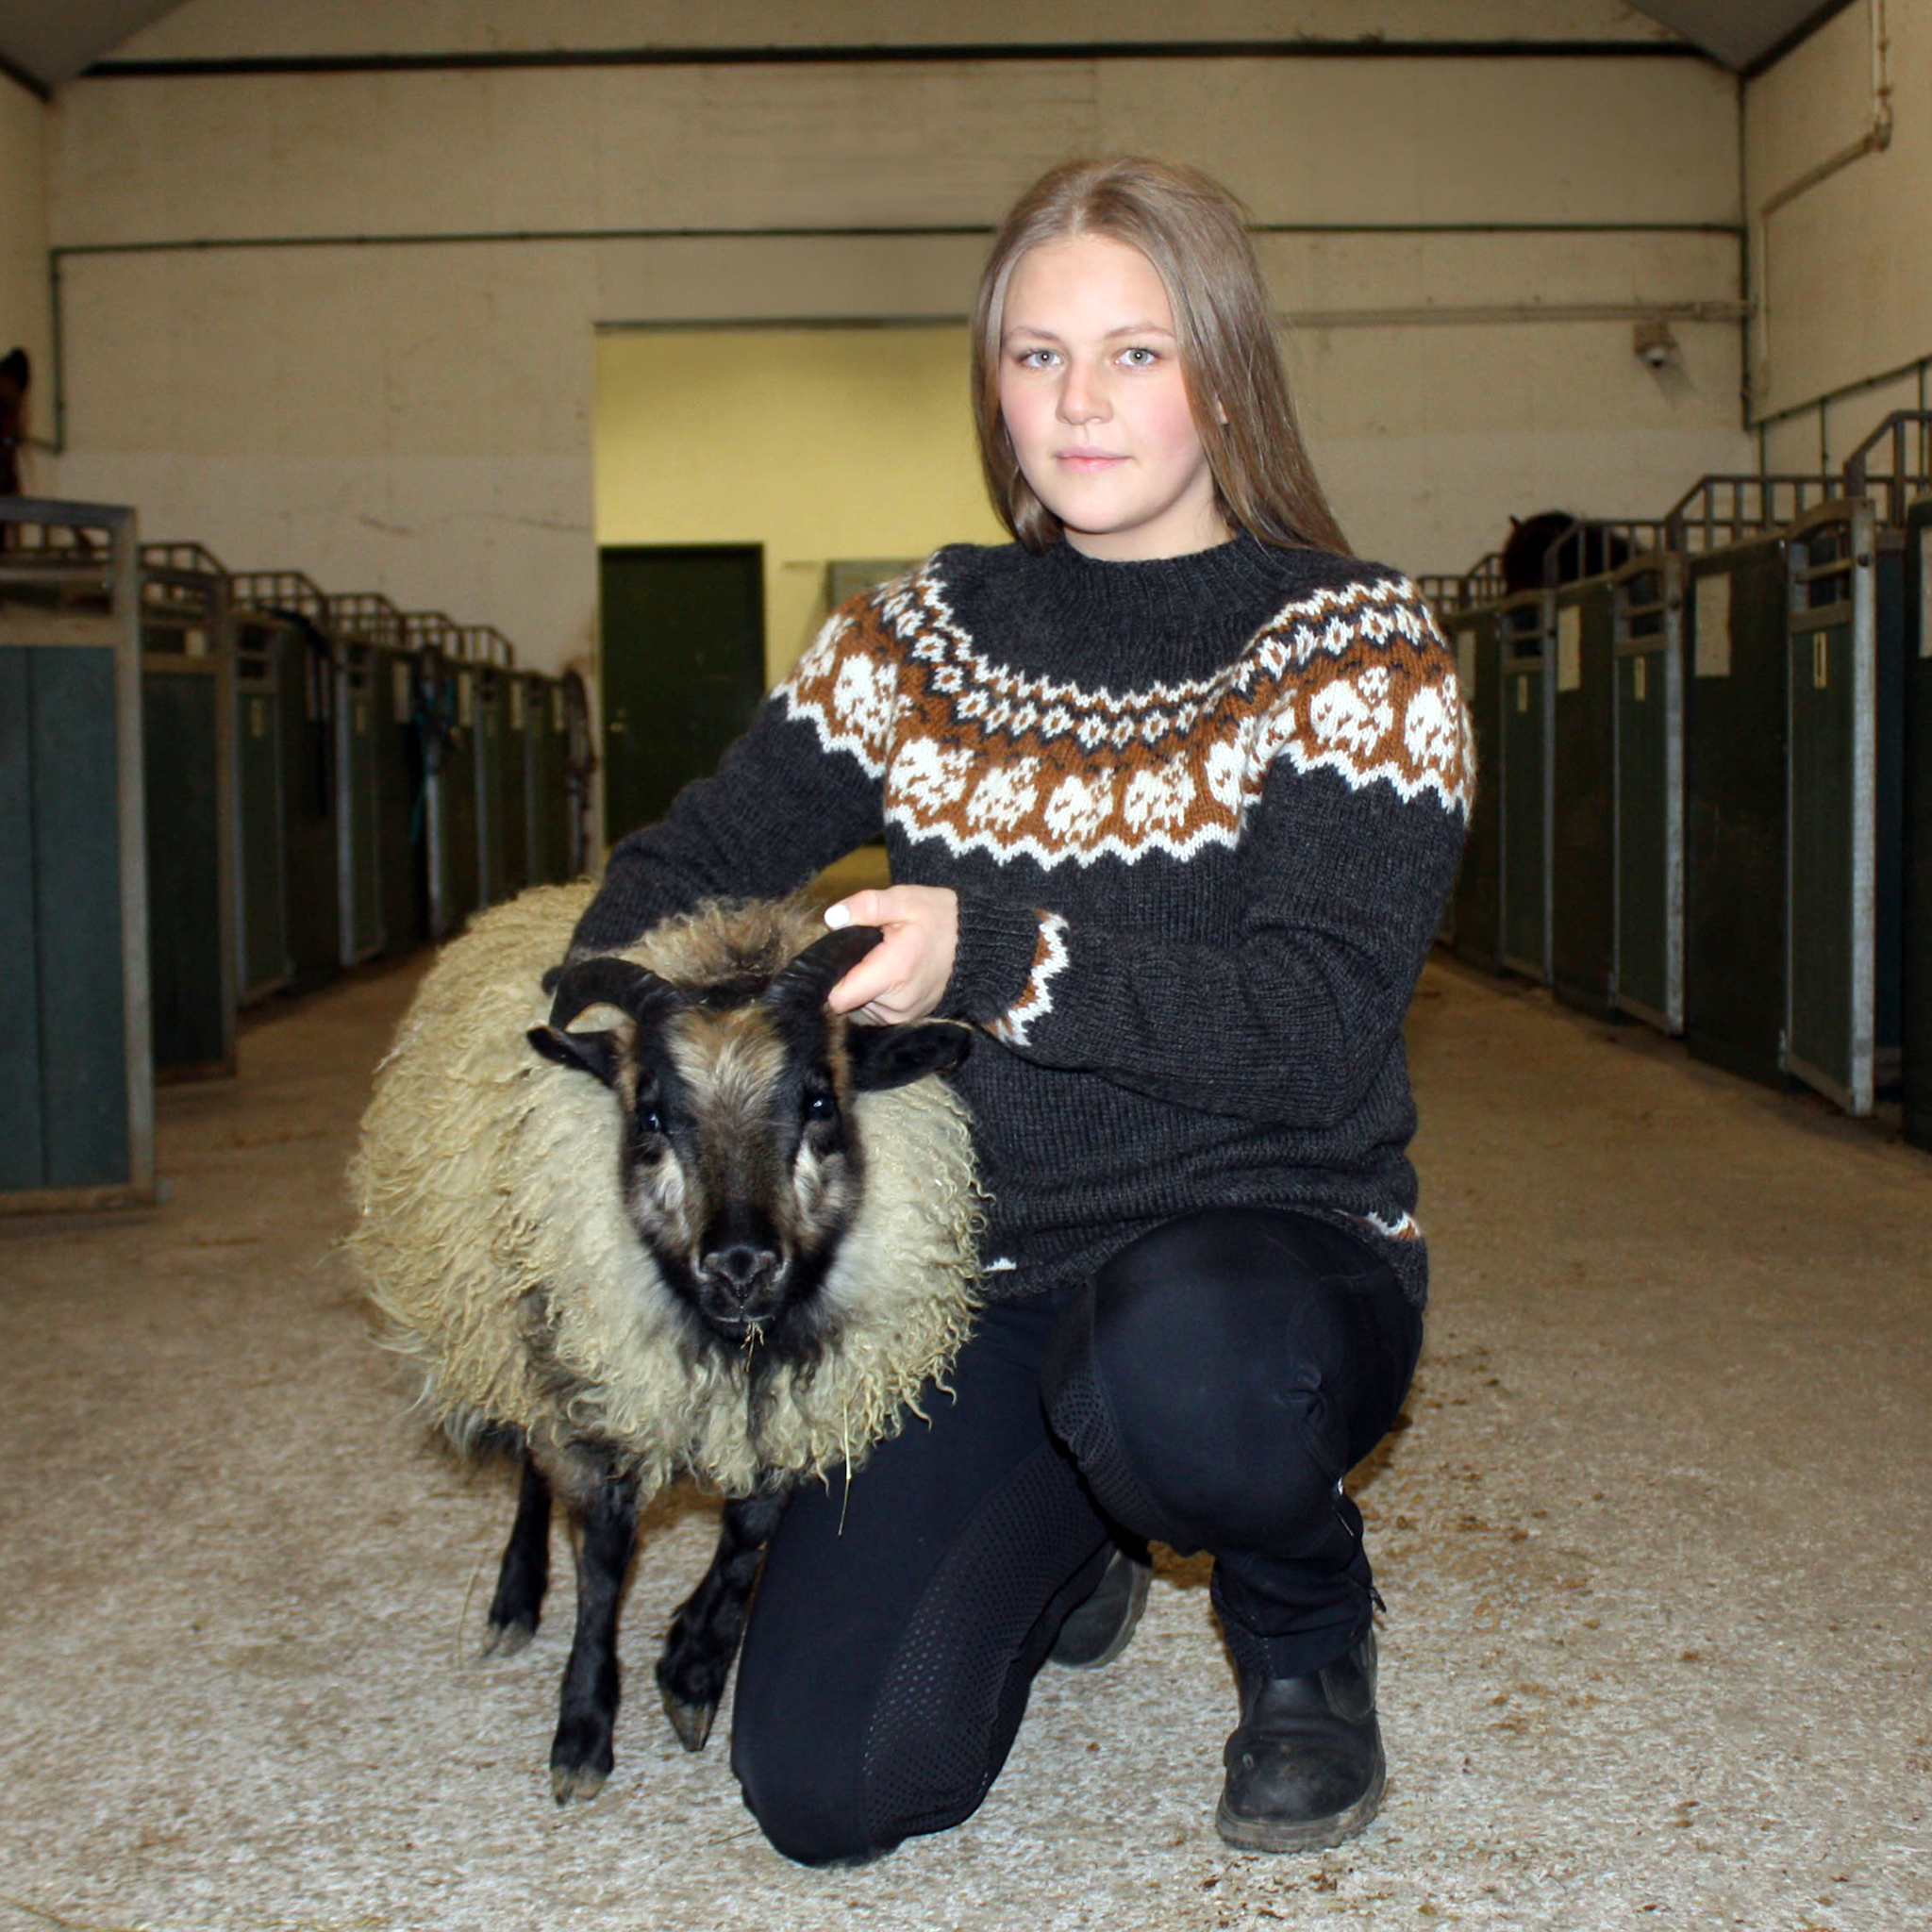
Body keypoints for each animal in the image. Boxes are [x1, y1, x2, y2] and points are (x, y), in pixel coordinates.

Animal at [346, 883, 981, 1800]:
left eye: (820, 1101)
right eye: (649, 1113)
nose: (741, 1264)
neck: (734, 1347)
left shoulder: (794, 1409)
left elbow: (750, 1534)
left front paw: (693, 1667)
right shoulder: (594, 1384)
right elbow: (605, 1562)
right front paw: (583, 1729)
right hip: (520, 1326)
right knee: (531, 1466)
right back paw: (514, 1599)